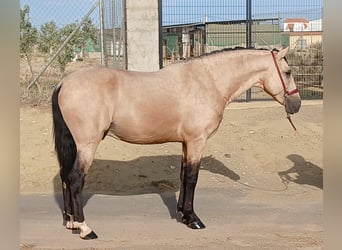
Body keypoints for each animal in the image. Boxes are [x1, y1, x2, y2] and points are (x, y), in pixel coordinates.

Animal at [50, 46, 300, 239]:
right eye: (287, 72)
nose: (296, 104)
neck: (209, 81)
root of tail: (63, 83)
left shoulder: (186, 142)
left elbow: (183, 175)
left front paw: (183, 214)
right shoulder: (198, 141)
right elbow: (192, 178)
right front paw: (194, 219)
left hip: (74, 145)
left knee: (65, 176)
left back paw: (70, 222)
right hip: (87, 145)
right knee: (75, 179)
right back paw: (85, 228)